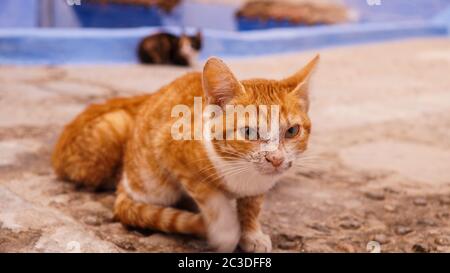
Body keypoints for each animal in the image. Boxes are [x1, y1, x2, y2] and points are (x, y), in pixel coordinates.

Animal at [51, 54, 320, 251]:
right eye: (249, 132)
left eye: (292, 131)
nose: (276, 159)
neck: (241, 174)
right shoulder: (169, 148)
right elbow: (209, 195)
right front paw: (225, 231)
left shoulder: (258, 187)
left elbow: (252, 206)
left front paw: (251, 233)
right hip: (150, 179)